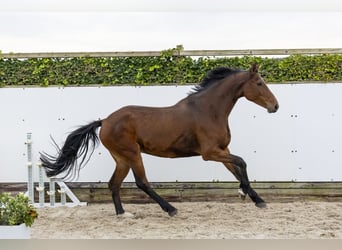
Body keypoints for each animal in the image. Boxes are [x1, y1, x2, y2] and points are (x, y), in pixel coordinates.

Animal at [40, 64, 278, 217]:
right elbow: (242, 162)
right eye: (259, 83)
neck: (208, 110)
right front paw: (245, 193)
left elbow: (236, 168)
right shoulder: (210, 153)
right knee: (142, 182)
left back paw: (122, 214)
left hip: (121, 158)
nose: (275, 106)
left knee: (114, 183)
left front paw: (256, 199)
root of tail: (105, 121)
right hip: (132, 153)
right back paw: (170, 209)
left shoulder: (223, 150)